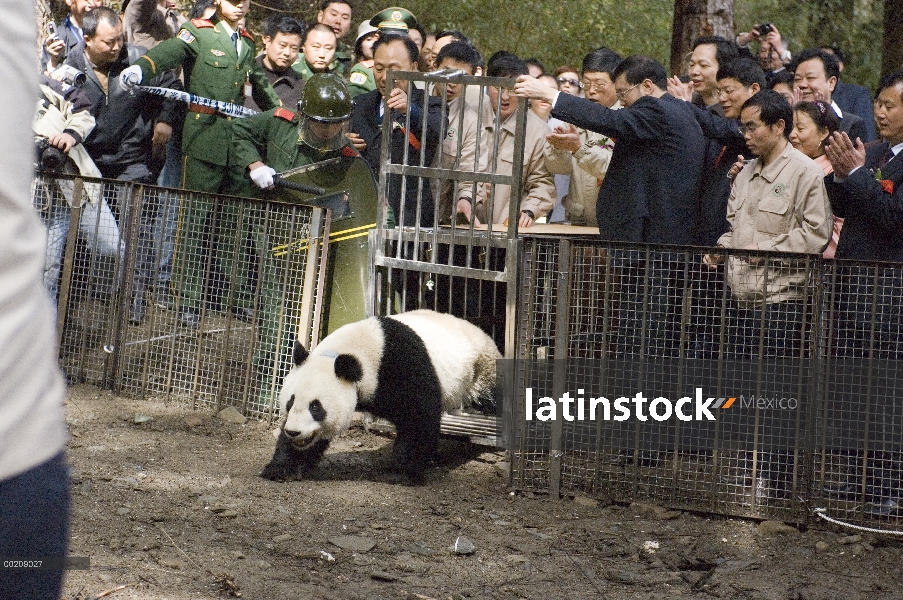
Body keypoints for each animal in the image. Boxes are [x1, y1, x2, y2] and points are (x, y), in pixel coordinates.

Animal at [260, 310, 502, 482]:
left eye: (316, 407)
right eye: (290, 402)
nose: (294, 432)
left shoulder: (401, 366)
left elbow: (418, 417)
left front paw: (402, 472)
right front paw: (281, 468)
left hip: (482, 369)